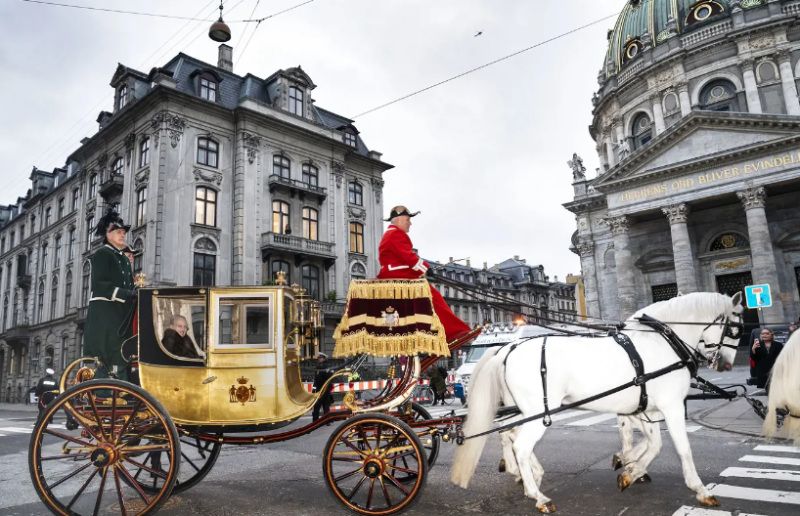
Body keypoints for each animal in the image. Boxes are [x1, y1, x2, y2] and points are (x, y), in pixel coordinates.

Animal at [454, 292, 740, 512]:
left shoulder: (646, 408)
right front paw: (700, 489)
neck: (661, 341)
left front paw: (629, 470)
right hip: (539, 411)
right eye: (736, 328)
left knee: (508, 432)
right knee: (521, 445)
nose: (726, 364)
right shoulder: (671, 407)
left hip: (523, 409)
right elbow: (681, 448)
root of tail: (507, 349)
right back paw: (538, 495)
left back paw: (527, 475)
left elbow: (653, 444)